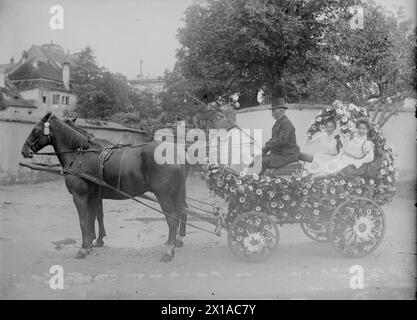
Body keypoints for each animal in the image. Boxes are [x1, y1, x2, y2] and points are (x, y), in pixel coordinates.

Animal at [21, 114, 187, 262]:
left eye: (36, 130)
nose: (24, 150)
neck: (80, 155)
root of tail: (175, 152)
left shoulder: (79, 196)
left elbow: (84, 221)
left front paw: (84, 248)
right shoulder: (94, 196)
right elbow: (95, 217)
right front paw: (93, 242)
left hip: (163, 195)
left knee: (172, 219)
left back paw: (169, 251)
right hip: (176, 193)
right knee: (181, 213)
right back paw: (174, 242)